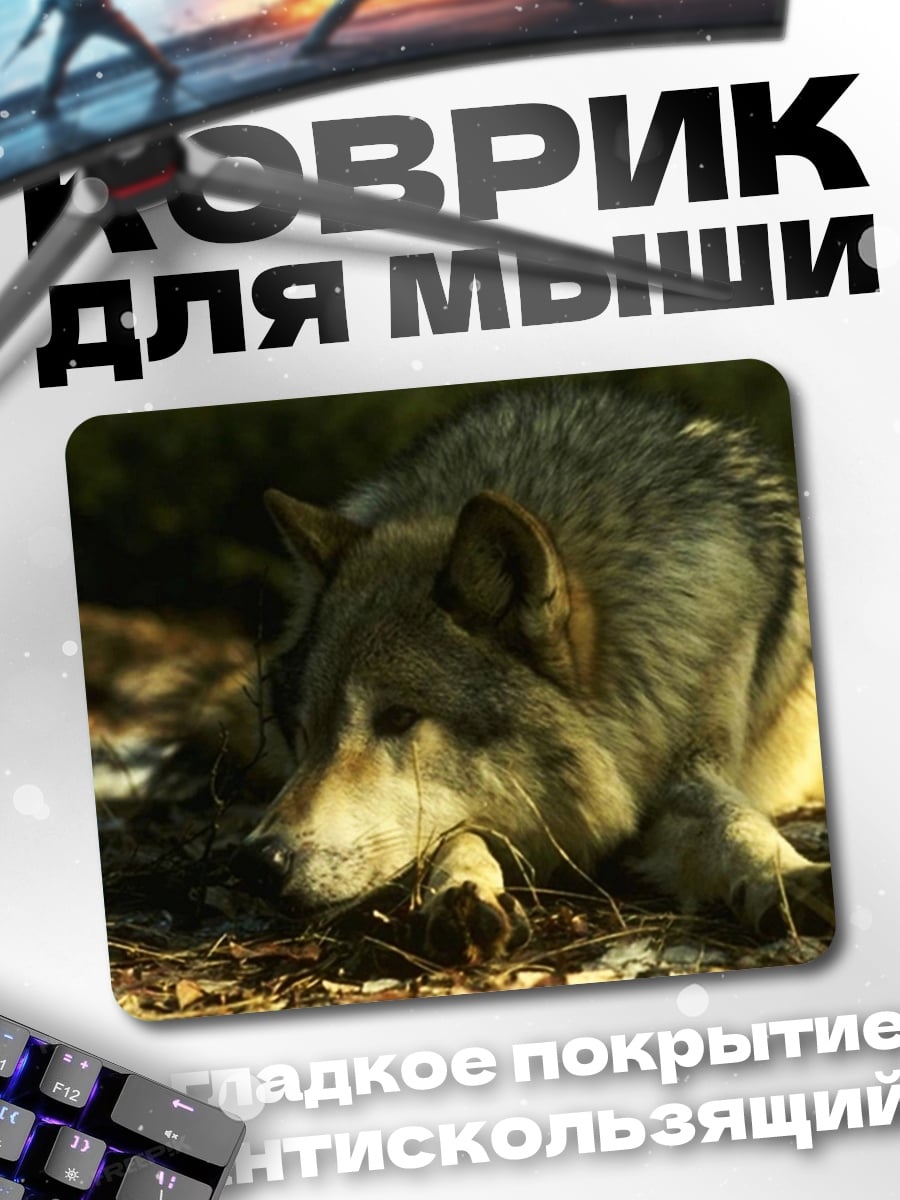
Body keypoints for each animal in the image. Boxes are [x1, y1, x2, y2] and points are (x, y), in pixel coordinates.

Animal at [232, 381, 832, 963]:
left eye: (399, 717)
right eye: (305, 731)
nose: (259, 863)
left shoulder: (690, 761)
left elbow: (734, 821)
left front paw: (791, 876)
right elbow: (454, 836)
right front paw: (460, 894)